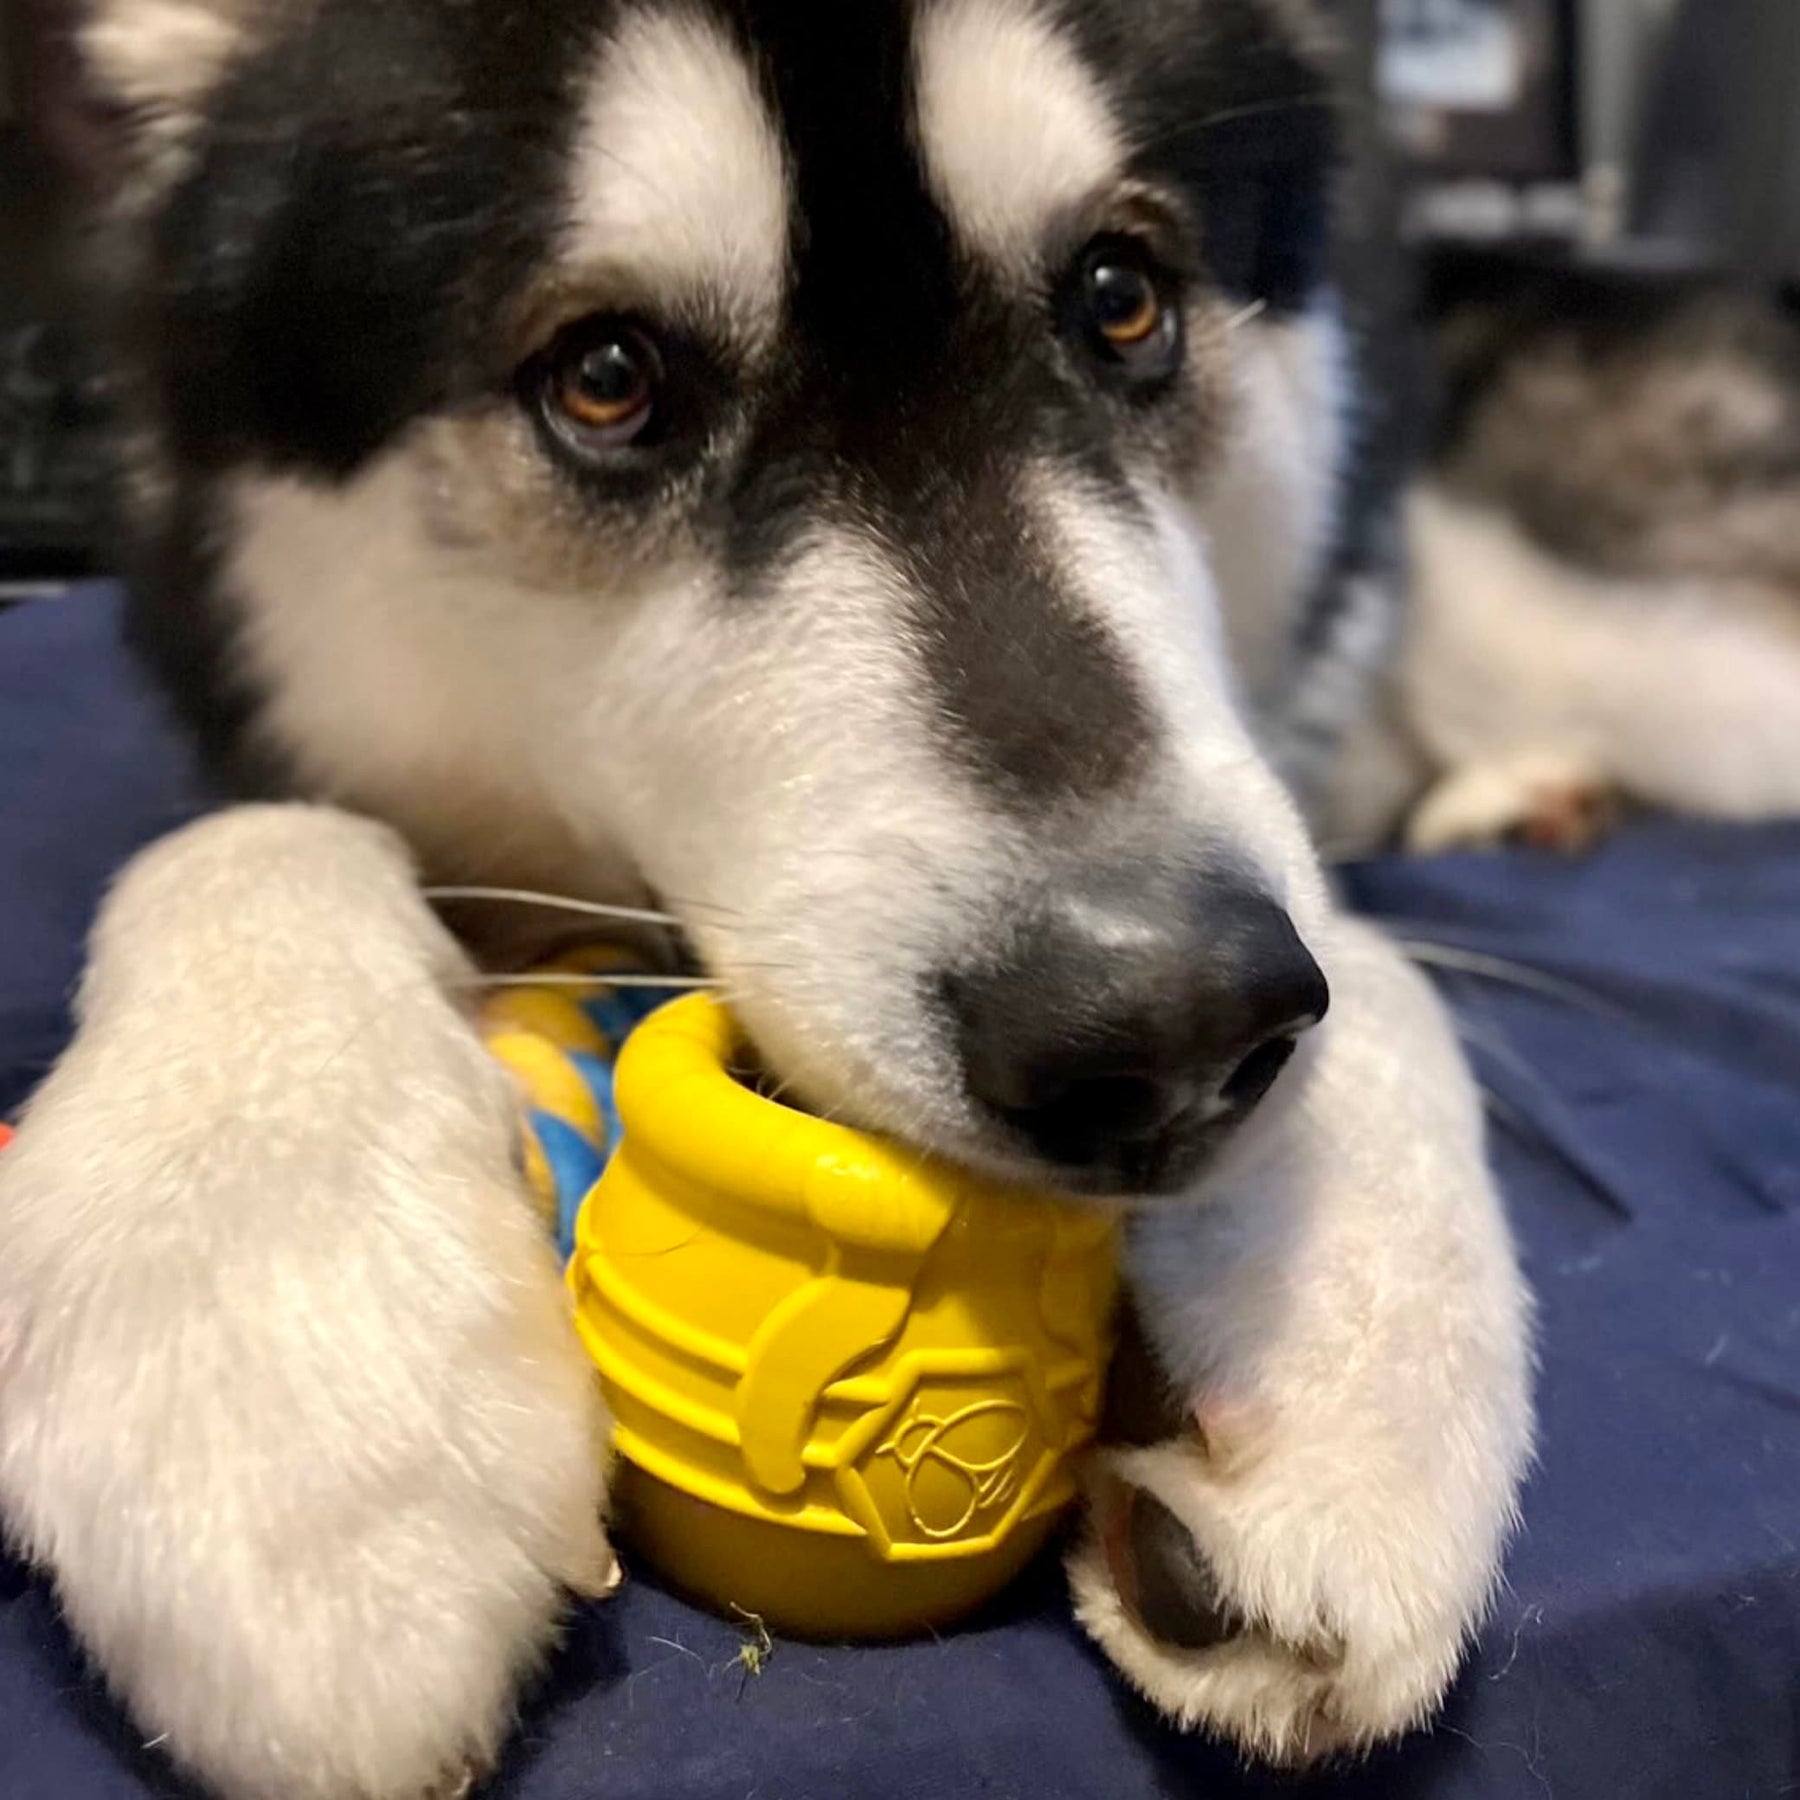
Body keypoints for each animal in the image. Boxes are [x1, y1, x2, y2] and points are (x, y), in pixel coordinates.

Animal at [0, 3, 1533, 1800]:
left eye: (1120, 295)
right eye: (605, 380)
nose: (1169, 1029)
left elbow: (1367, 953)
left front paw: (1351, 1344)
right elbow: (249, 836)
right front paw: (270, 1318)